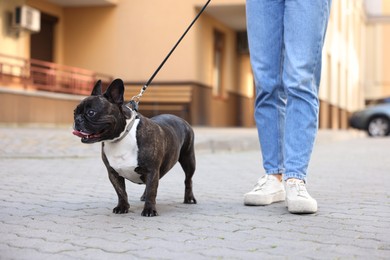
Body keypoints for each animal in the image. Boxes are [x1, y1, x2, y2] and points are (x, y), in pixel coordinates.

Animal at [72, 78, 197, 216]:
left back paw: (189, 198)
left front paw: (149, 210)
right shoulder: (113, 173)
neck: (120, 138)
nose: (77, 119)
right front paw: (122, 207)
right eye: (74, 112)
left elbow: (152, 190)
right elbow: (121, 192)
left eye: (91, 113)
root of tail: (181, 119)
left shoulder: (152, 170)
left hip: (188, 159)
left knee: (188, 179)